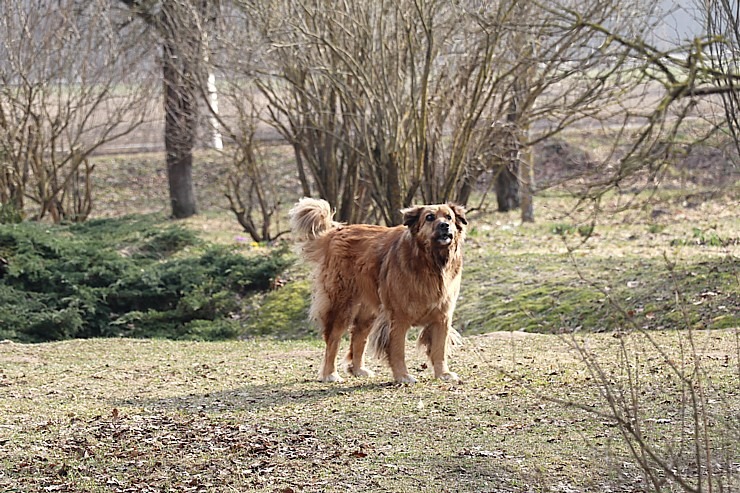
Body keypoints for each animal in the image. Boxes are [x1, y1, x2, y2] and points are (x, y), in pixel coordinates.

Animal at [290, 198, 468, 382]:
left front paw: (443, 374)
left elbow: (440, 349)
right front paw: (403, 376)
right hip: (341, 307)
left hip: (368, 312)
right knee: (332, 341)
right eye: (430, 217)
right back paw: (330, 374)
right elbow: (398, 350)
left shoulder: (442, 317)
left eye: (449, 217)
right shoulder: (398, 318)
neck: (430, 262)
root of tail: (335, 233)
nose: (445, 225)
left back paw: (358, 369)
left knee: (358, 337)